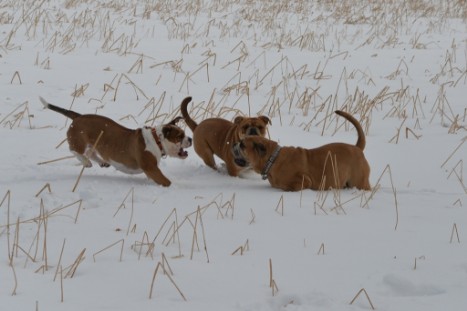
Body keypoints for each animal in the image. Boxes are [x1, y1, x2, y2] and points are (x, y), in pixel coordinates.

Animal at [40, 97, 192, 188]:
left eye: (184, 134)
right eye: (180, 136)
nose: (190, 139)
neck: (156, 140)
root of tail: (78, 116)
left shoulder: (152, 171)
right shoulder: (152, 169)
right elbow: (167, 181)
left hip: (93, 143)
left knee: (91, 152)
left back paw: (101, 161)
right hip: (78, 141)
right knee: (74, 150)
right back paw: (85, 162)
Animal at [232, 111, 372, 191]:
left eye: (242, 145)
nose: (234, 145)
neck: (272, 159)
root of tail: (357, 148)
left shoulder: (304, 181)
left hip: (359, 182)